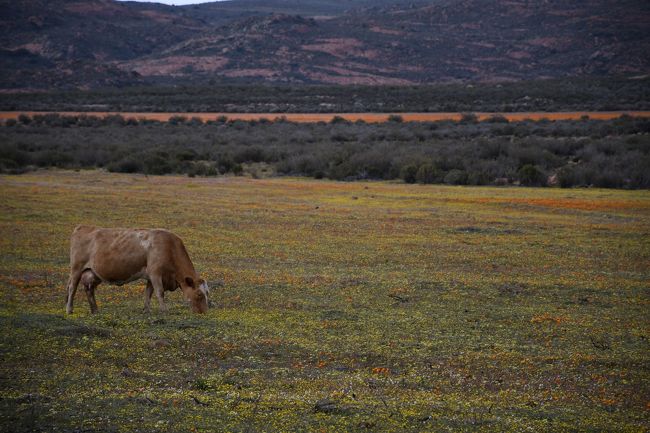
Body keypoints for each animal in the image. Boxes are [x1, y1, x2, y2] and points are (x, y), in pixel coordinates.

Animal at [65, 226, 209, 314]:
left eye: (207, 293)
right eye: (199, 294)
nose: (203, 312)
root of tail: (83, 227)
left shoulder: (150, 276)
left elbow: (148, 293)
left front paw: (147, 310)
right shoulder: (155, 273)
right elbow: (160, 292)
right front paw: (164, 310)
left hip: (93, 273)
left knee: (89, 289)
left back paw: (95, 310)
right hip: (76, 268)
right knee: (72, 288)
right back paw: (69, 310)